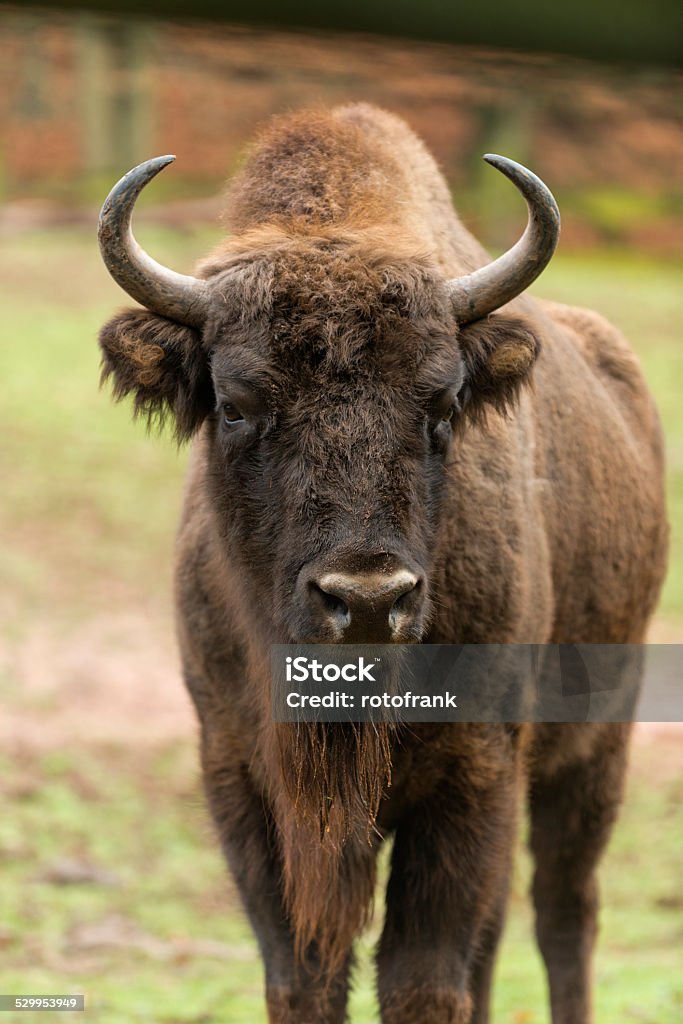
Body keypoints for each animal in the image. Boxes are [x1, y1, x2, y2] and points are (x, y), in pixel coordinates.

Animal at [96, 105, 667, 1024]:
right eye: (235, 404)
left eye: (442, 403)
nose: (365, 599)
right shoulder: (242, 775)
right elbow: (306, 976)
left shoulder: (472, 776)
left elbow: (422, 979)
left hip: (593, 748)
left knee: (563, 915)